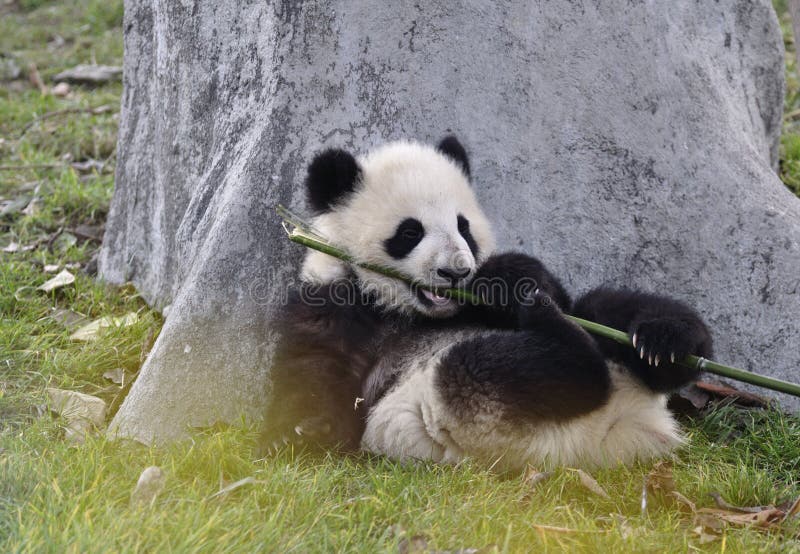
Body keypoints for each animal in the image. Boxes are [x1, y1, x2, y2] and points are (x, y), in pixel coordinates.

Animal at [258, 136, 712, 468]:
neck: (412, 311)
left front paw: (510, 280)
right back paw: (556, 337)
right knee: (505, 367)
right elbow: (314, 367)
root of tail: (611, 434)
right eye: (410, 232)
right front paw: (302, 431)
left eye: (464, 227)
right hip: (467, 409)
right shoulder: (334, 303)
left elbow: (543, 284)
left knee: (606, 311)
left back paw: (666, 342)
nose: (456, 272)